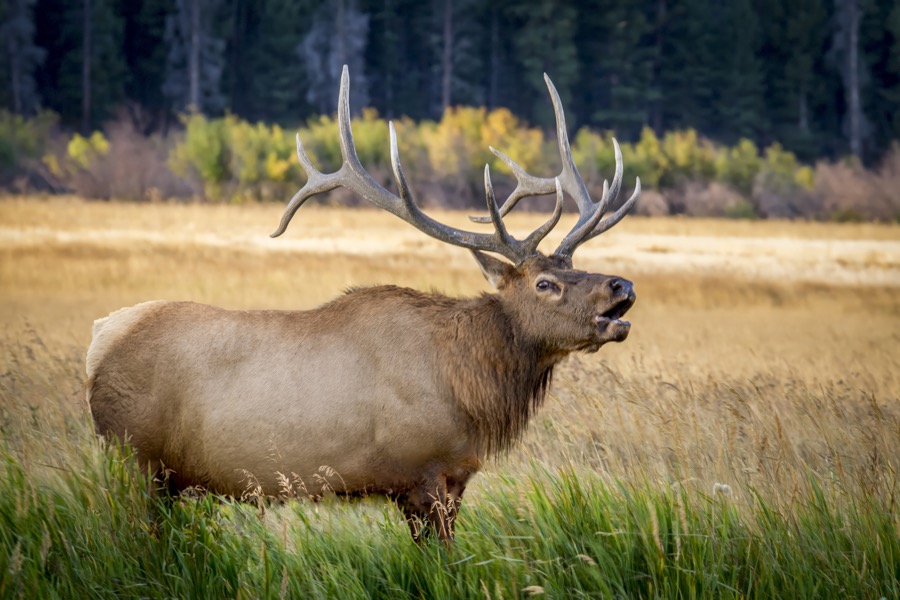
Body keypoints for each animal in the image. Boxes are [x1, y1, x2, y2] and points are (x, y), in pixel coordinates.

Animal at [85, 66, 640, 544]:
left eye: (575, 266)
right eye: (545, 283)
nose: (622, 285)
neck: (470, 388)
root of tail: (99, 339)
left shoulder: (457, 477)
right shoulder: (420, 474)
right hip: (134, 459)